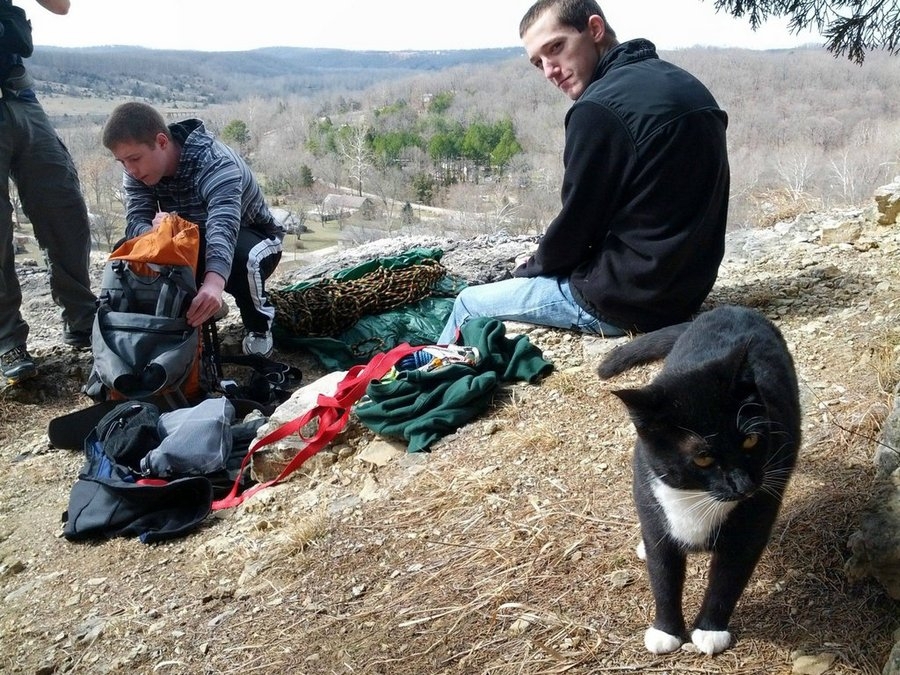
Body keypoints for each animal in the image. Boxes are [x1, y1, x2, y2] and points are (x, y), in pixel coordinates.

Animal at [596, 304, 800, 656]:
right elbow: (663, 573)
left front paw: (709, 630)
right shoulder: (651, 499)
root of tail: (732, 308)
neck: (698, 498)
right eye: (702, 457)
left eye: (750, 441)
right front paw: (665, 631)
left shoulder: (752, 519)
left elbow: (728, 577)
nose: (744, 485)